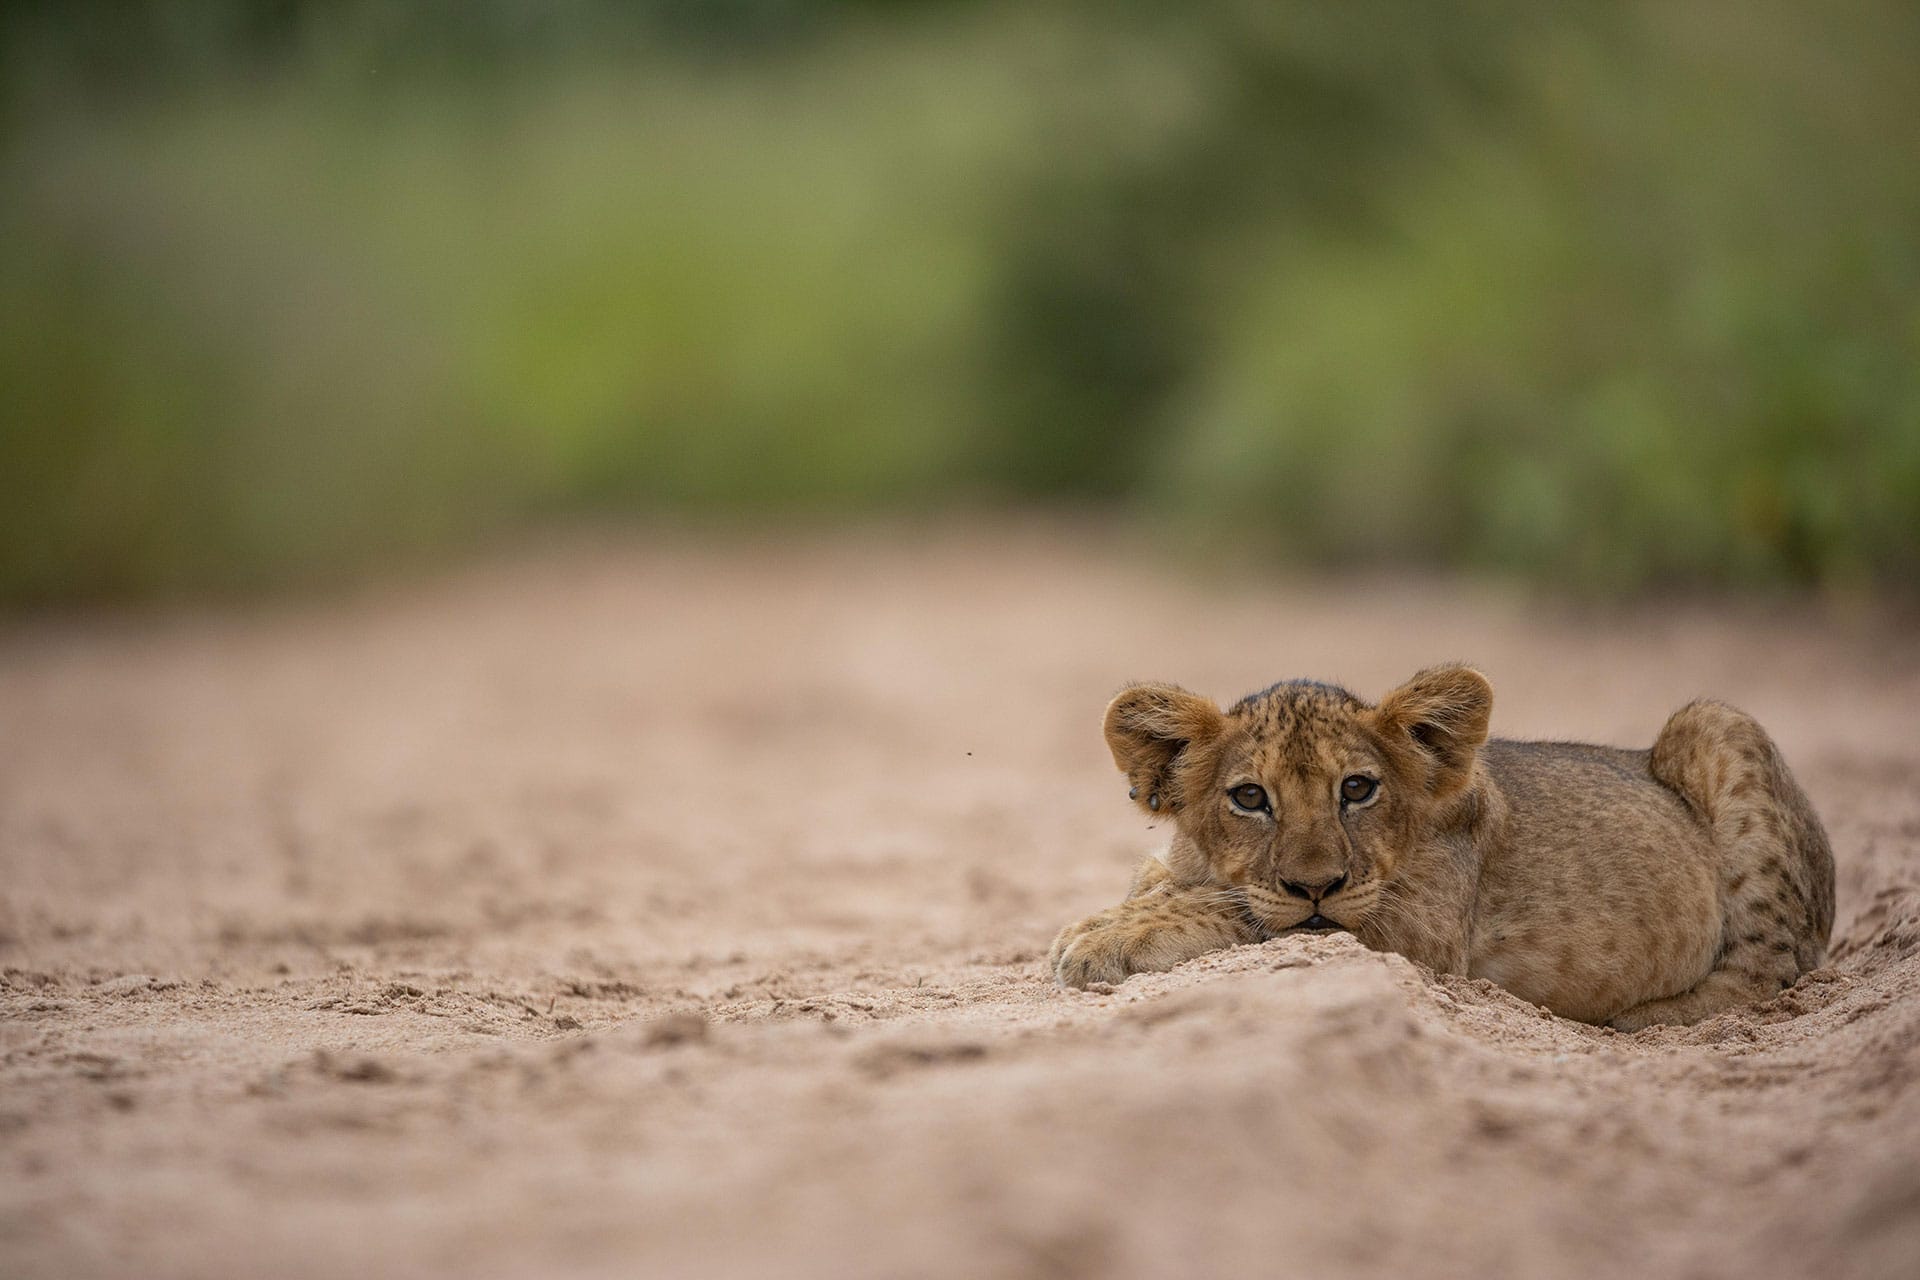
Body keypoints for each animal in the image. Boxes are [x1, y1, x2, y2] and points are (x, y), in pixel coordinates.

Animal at [1047, 666, 1834, 1030]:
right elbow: (1188, 885)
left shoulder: (1418, 930)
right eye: (1249, 798)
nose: (1316, 885)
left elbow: (1240, 908)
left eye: (1357, 788)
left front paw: (1102, 936)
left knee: (1768, 971)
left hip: (1717, 724)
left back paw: (1634, 1018)